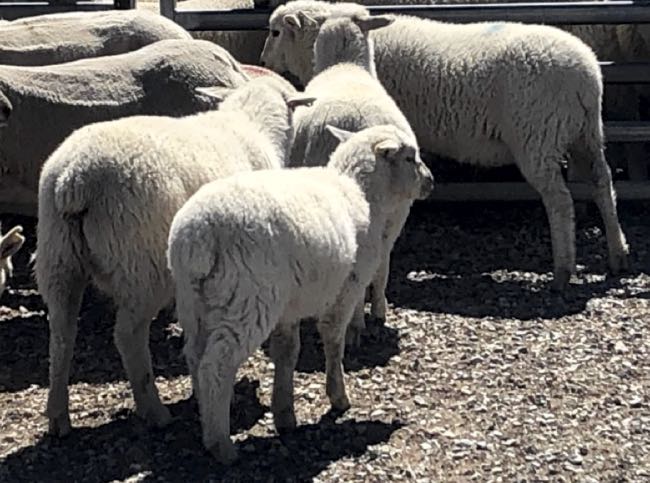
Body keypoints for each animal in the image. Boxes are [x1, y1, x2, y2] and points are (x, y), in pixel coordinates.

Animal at [35, 75, 313, 438]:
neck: (250, 125)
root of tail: (74, 179)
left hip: (58, 257)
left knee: (61, 334)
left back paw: (58, 416)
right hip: (141, 266)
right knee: (128, 335)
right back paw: (153, 410)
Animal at [167, 123, 433, 463]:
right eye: (410, 158)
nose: (431, 182)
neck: (361, 192)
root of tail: (199, 236)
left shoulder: (288, 309)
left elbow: (287, 353)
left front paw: (285, 414)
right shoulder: (345, 290)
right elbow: (333, 342)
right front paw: (338, 396)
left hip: (194, 303)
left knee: (195, 356)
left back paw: (206, 417)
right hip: (249, 301)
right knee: (216, 366)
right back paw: (221, 444)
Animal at [261, 0, 630, 290]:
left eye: (275, 32)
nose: (263, 62)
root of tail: (587, 76)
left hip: (538, 136)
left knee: (560, 202)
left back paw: (563, 270)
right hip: (586, 134)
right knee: (603, 184)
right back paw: (617, 255)